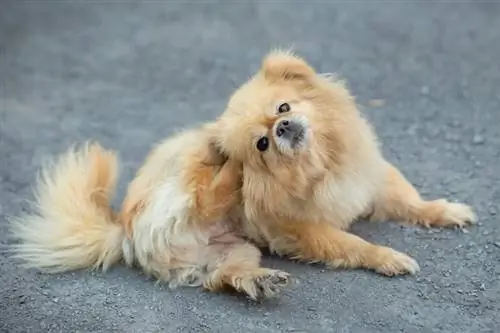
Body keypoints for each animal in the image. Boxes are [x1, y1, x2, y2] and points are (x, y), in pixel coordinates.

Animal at [8, 123, 290, 300]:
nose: (283, 129)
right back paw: (232, 166)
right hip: (178, 192)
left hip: (236, 250)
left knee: (220, 275)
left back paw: (258, 280)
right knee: (205, 197)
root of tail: (127, 237)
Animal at [211, 49, 476, 278]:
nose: (282, 126)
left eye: (283, 107)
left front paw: (444, 211)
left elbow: (410, 202)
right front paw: (387, 258)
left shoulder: (369, 179)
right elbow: (354, 244)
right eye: (262, 144)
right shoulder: (303, 229)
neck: (322, 167)